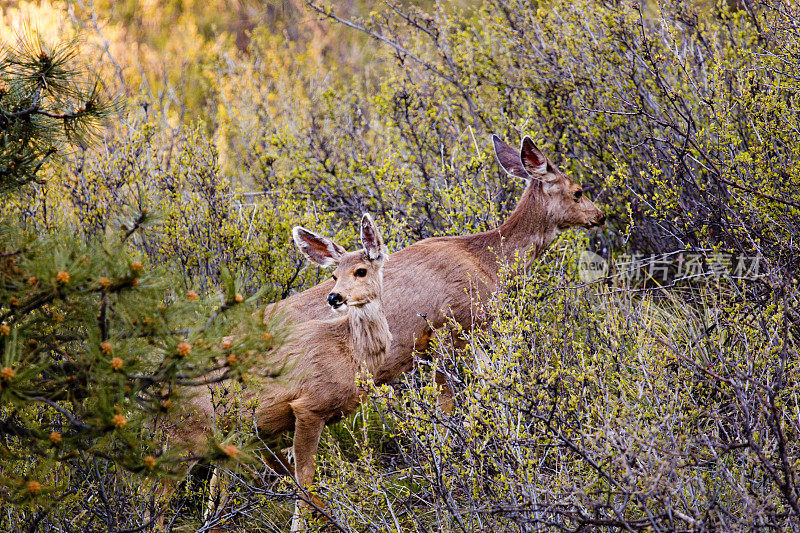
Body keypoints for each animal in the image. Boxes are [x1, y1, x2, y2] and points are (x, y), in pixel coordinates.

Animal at [168, 211, 390, 528]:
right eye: (333, 275)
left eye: (361, 271)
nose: (334, 297)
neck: (348, 349)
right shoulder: (308, 406)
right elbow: (304, 478)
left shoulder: (268, 429)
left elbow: (290, 476)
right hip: (187, 432)